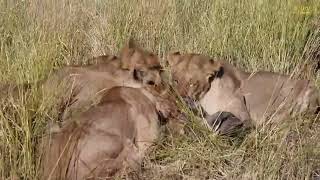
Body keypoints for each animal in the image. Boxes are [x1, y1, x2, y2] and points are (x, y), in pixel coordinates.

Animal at [169, 52, 318, 132]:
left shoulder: (243, 115)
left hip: (310, 91)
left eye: (192, 83)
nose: (180, 98)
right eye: (175, 80)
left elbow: (207, 121)